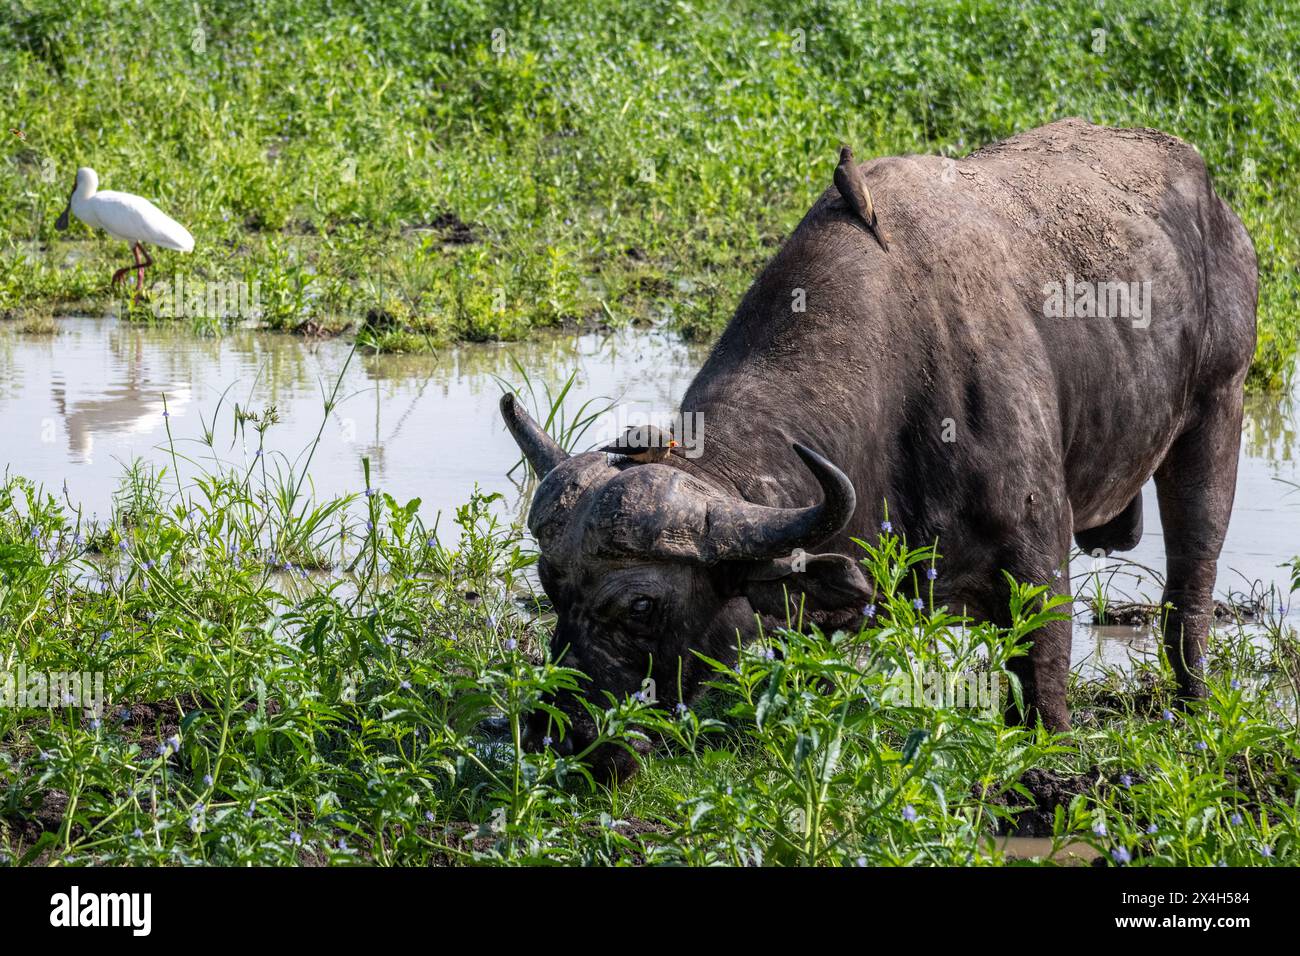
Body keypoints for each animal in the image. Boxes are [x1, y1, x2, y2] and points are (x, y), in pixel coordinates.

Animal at [501, 117, 1253, 780]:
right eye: (550, 585)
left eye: (641, 607)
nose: (559, 735)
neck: (897, 384)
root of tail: (1209, 191)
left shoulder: (1038, 557)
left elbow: (1042, 683)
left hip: (1219, 407)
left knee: (1191, 584)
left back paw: (1193, 701)